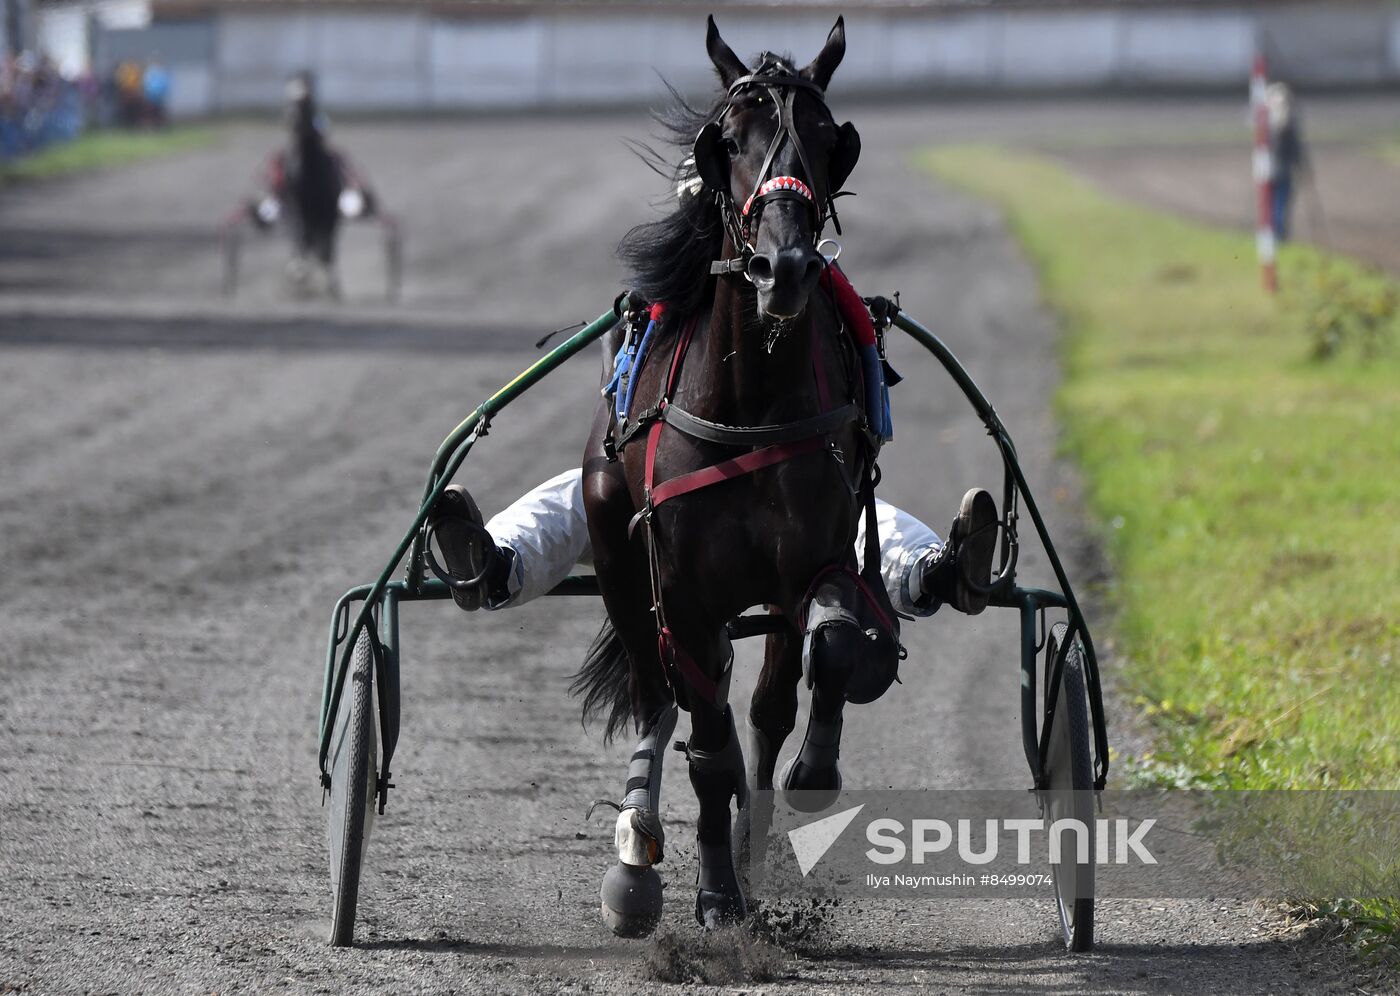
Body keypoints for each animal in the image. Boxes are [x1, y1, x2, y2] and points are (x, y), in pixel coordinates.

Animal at [576, 15, 896, 935]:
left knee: (755, 701)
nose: (782, 267)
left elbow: (821, 659)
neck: (748, 402)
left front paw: (809, 779)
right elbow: (707, 749)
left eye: (827, 138)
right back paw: (643, 857)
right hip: (620, 560)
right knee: (663, 697)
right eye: (729, 140)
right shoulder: (677, 593)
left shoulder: (811, 562)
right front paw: (716, 893)